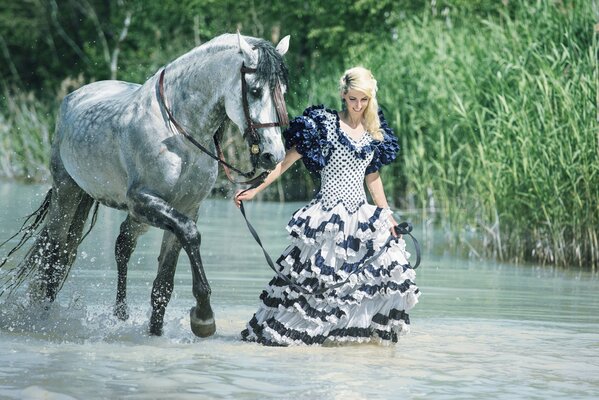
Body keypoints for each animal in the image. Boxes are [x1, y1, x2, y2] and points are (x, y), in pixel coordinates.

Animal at [0, 32, 290, 338]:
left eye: (282, 91)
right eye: (255, 91)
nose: (273, 155)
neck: (179, 134)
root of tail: (74, 96)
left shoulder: (186, 208)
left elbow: (163, 283)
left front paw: (158, 331)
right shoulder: (143, 200)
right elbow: (190, 234)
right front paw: (203, 317)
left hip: (134, 216)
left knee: (120, 246)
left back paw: (120, 314)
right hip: (67, 192)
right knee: (55, 254)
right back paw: (42, 319)